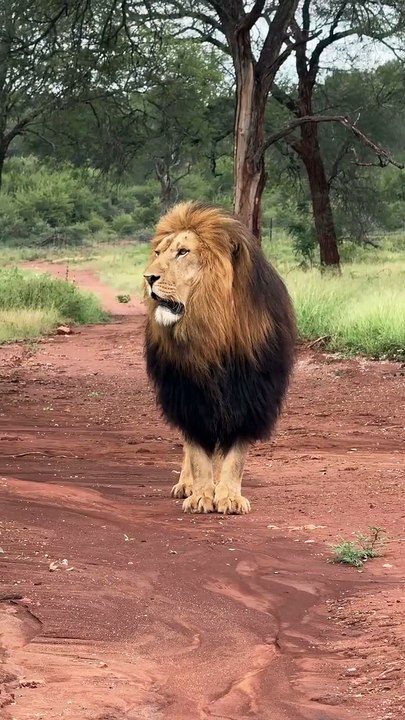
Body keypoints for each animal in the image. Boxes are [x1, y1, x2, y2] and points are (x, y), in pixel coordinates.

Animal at [143, 202, 296, 514]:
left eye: (183, 252)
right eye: (158, 253)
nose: (148, 278)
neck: (212, 330)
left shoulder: (250, 395)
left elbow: (235, 456)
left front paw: (229, 497)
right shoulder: (188, 395)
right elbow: (198, 455)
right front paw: (201, 495)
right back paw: (186, 484)